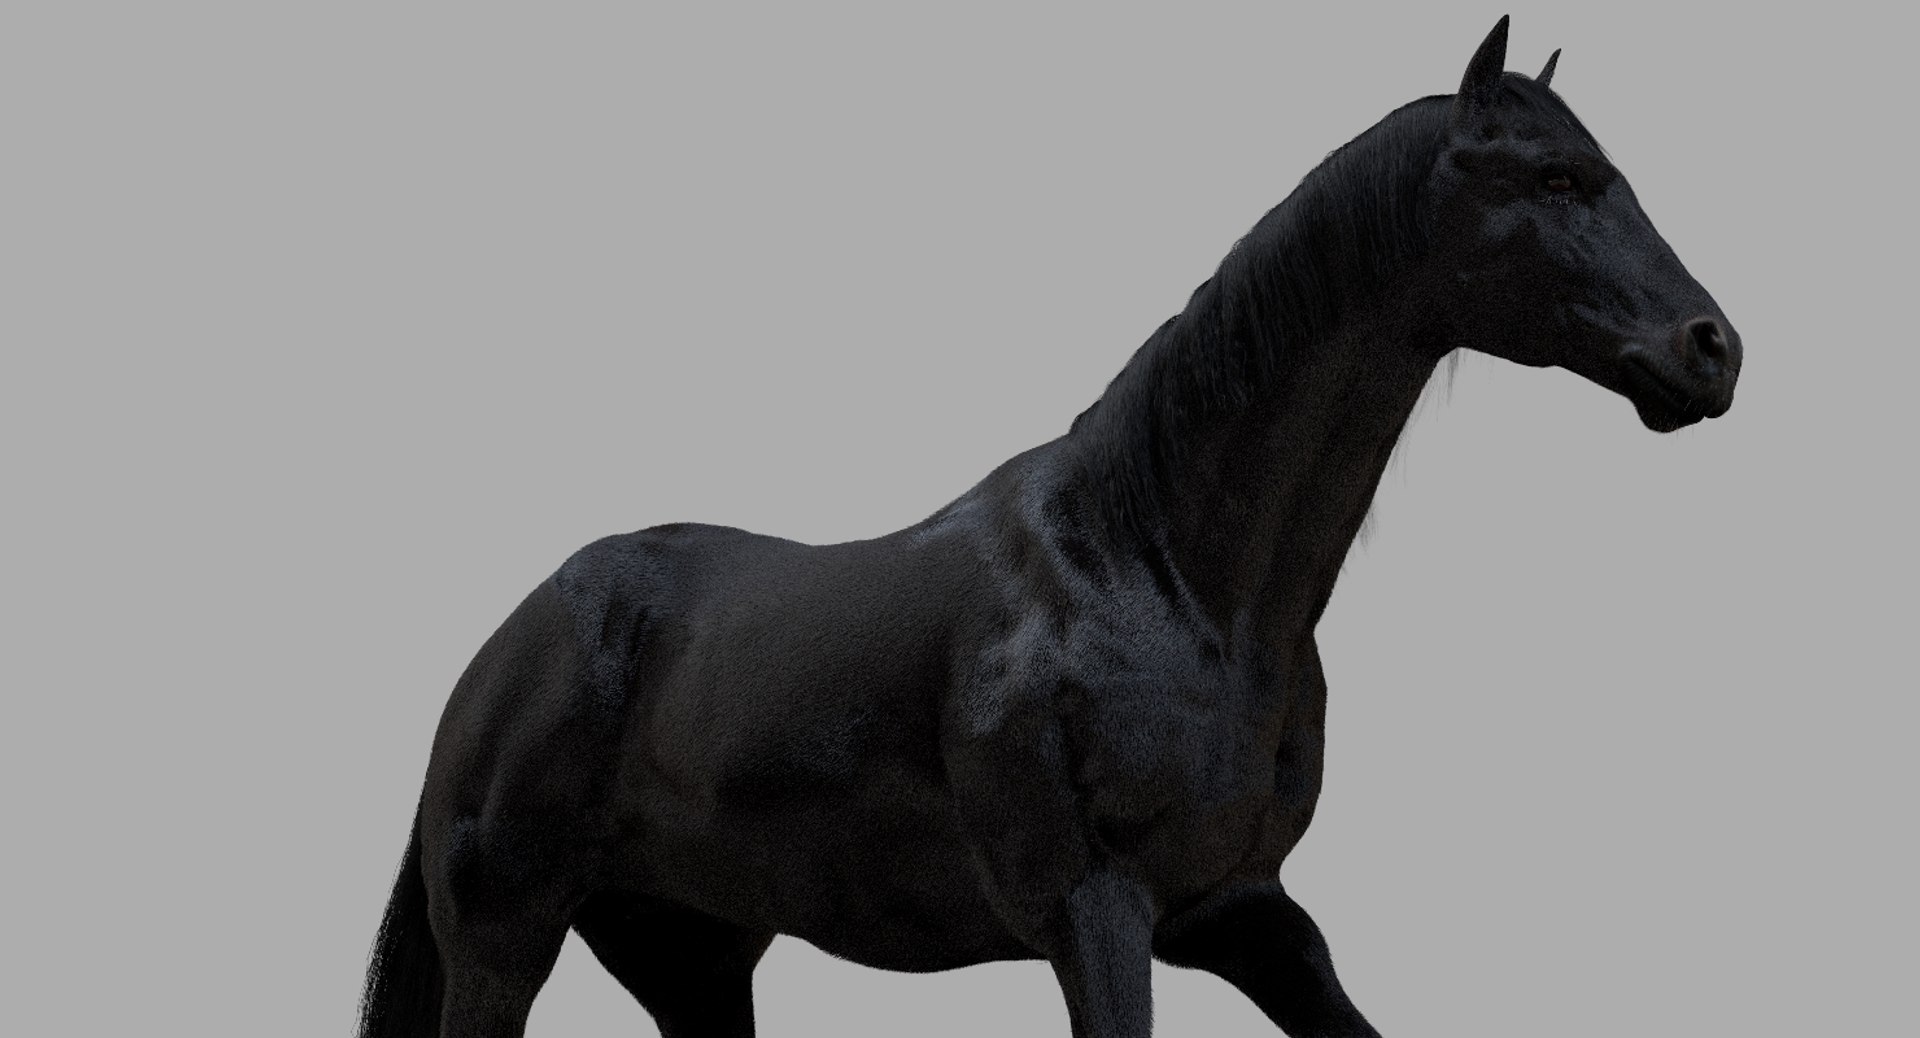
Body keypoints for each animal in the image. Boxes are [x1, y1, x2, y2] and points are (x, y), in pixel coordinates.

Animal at [357, 16, 1741, 1038]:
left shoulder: (1243, 912)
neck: (1168, 575)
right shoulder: (1096, 911)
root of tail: (506, 653)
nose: (1711, 349)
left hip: (691, 956)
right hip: (505, 938)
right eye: (1556, 176)